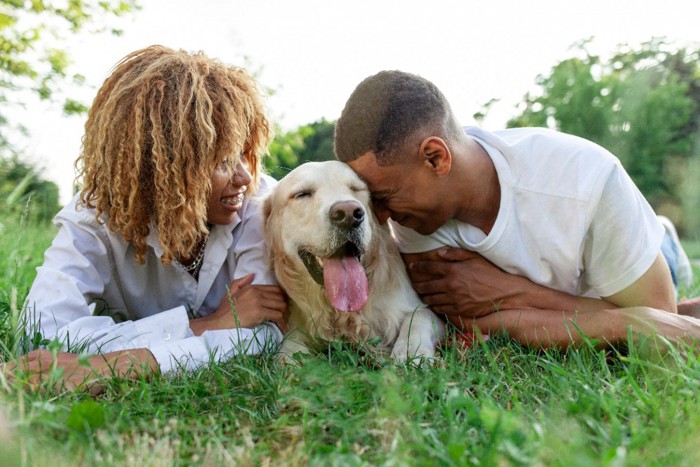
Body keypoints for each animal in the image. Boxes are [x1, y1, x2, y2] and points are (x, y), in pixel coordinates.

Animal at [260, 161, 446, 362]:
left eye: (356, 189)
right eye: (302, 194)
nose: (348, 214)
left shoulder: (424, 311)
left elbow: (418, 319)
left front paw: (410, 354)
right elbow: (289, 348)